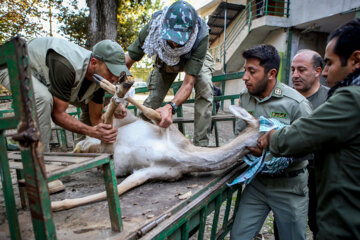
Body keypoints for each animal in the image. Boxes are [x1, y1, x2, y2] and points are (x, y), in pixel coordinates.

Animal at [50, 104, 260, 211]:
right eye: (266, 122)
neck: (183, 156)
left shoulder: (148, 173)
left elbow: (118, 190)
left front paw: (54, 205)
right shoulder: (166, 127)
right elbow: (151, 110)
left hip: (107, 146)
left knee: (96, 138)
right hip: (121, 122)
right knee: (104, 119)